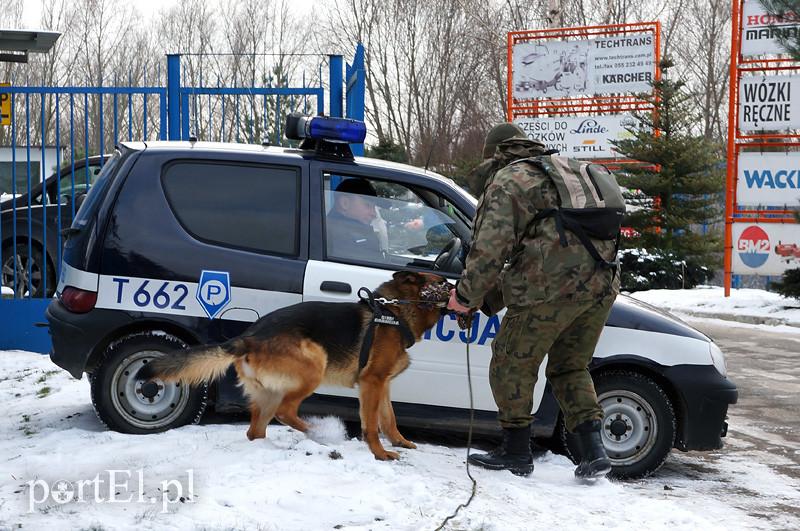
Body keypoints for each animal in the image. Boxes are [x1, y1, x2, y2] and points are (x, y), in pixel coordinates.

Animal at [138, 272, 450, 460]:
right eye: (443, 284)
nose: (457, 288)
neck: (395, 311)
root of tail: (249, 337)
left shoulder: (383, 384)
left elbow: (390, 418)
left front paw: (399, 441)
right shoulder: (371, 382)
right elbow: (372, 424)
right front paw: (380, 453)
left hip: (269, 392)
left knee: (256, 430)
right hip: (314, 366)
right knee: (285, 411)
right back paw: (319, 430)